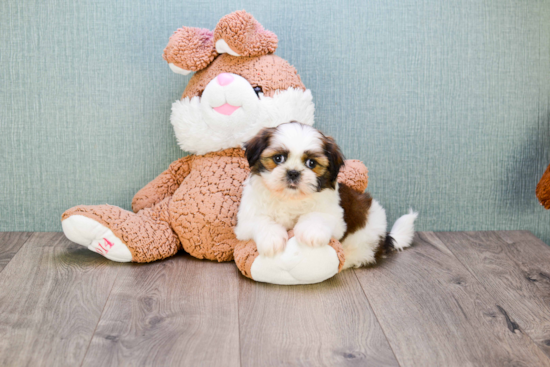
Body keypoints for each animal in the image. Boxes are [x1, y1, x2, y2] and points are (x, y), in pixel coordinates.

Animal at [235, 122, 420, 268]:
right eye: (278, 158)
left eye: (311, 163)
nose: (293, 172)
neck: (291, 198)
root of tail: (385, 237)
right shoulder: (246, 219)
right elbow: (261, 220)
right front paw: (271, 239)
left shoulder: (336, 217)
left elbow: (319, 216)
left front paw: (311, 232)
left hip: (365, 240)